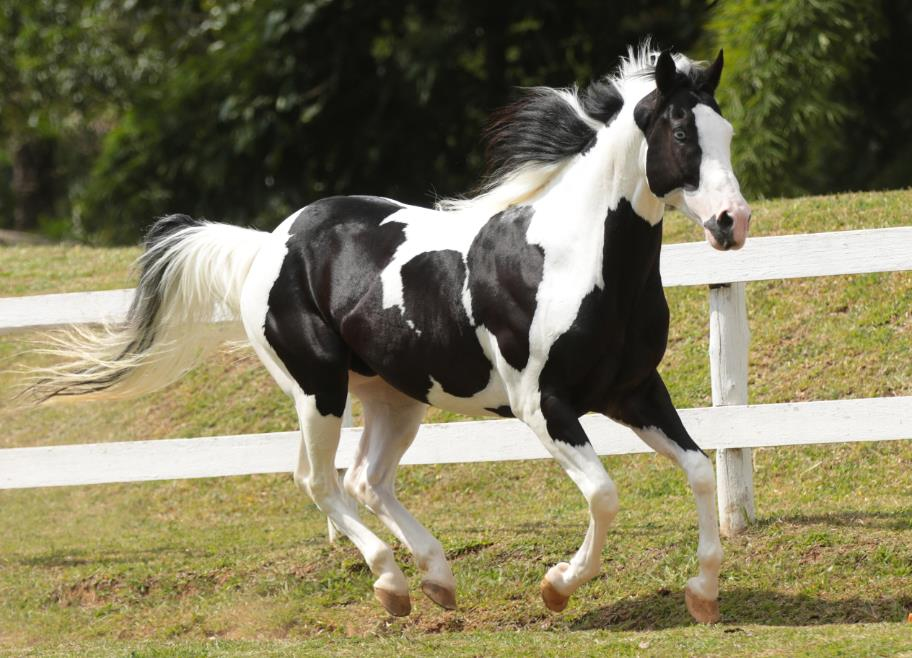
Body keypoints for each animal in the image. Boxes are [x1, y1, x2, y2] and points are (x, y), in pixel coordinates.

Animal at [32, 44, 752, 620]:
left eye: (728, 132)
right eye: (683, 134)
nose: (732, 222)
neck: (573, 259)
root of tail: (270, 242)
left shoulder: (636, 392)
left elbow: (699, 470)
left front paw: (702, 593)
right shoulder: (542, 405)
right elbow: (603, 494)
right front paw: (557, 587)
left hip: (394, 396)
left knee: (365, 480)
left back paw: (435, 580)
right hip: (318, 390)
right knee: (320, 481)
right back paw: (392, 584)